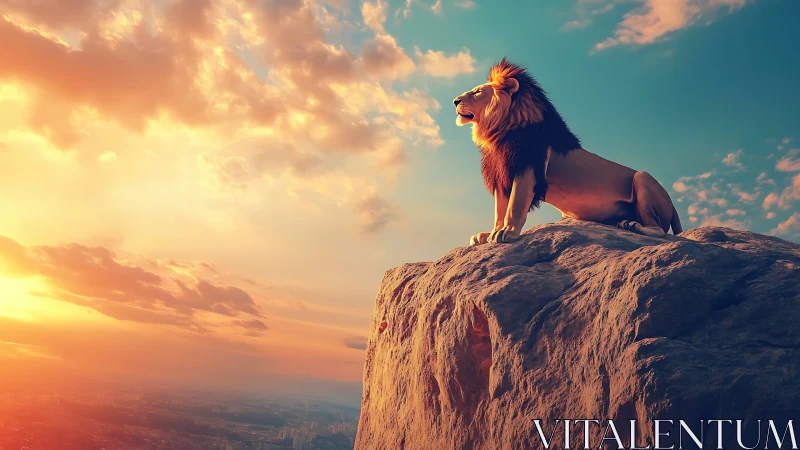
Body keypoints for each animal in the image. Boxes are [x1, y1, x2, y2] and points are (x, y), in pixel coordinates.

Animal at [454, 58, 682, 245]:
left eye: (477, 92)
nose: (455, 101)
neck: (498, 132)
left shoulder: (527, 168)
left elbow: (514, 206)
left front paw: (507, 232)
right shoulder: (501, 174)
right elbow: (499, 210)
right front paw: (488, 234)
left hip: (643, 178)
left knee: (660, 230)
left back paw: (633, 226)